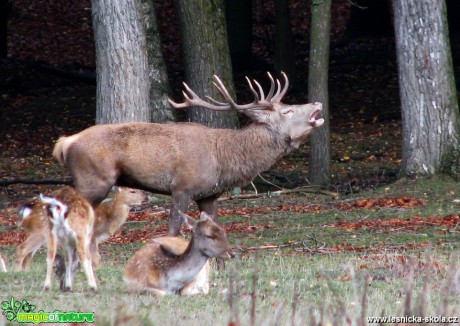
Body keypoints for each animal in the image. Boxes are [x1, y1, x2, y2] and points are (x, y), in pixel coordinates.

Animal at [15, 186, 144, 270]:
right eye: (132, 191)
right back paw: (17, 271)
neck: (108, 217)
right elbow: (96, 258)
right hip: (41, 230)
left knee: (29, 254)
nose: (144, 198)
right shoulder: (92, 235)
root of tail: (27, 208)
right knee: (22, 249)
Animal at [52, 72, 324, 234]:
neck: (224, 160)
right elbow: (173, 229)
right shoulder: (181, 187)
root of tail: (65, 142)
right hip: (93, 180)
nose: (317, 102)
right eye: (287, 111)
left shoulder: (210, 195)